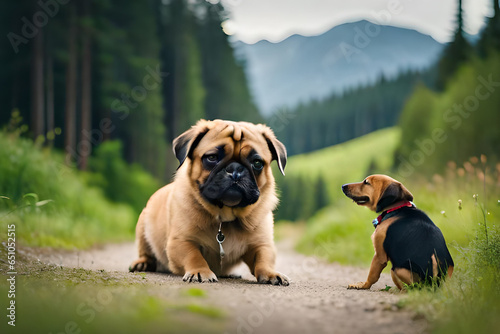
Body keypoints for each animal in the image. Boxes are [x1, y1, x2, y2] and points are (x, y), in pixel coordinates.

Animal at [130, 118, 290, 286]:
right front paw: (200, 271)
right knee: (146, 252)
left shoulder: (261, 244)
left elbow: (263, 258)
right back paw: (142, 263)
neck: (225, 216)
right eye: (212, 158)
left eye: (257, 163)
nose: (235, 169)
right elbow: (193, 255)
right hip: (142, 227)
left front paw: (270, 273)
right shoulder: (181, 241)